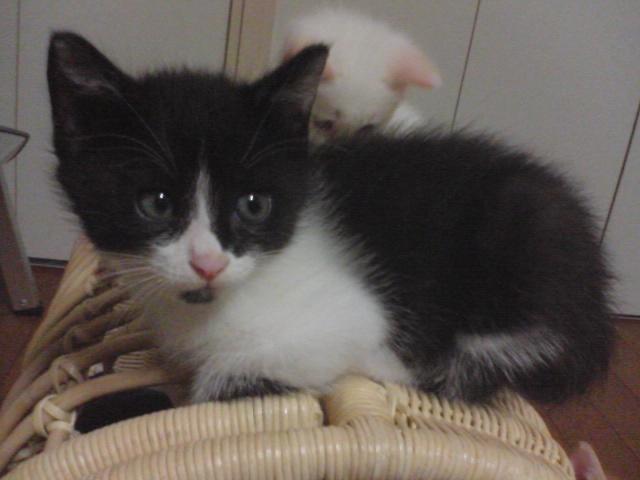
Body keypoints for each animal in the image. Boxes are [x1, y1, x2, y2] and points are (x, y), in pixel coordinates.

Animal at [48, 32, 614, 404]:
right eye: (157, 203)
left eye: (254, 205)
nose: (208, 264)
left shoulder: (345, 318)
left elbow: (226, 379)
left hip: (526, 228)